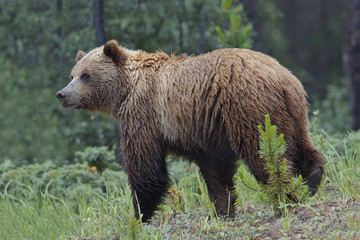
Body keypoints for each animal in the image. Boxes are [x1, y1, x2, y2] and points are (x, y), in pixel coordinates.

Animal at [57, 40, 326, 222]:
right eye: (72, 74)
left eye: (85, 75)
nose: (62, 94)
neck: (125, 91)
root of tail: (282, 78)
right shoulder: (205, 129)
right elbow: (215, 170)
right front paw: (222, 209)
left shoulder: (145, 114)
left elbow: (145, 166)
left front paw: (140, 214)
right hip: (291, 112)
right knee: (299, 144)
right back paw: (313, 177)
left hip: (249, 110)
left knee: (264, 156)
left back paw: (285, 195)